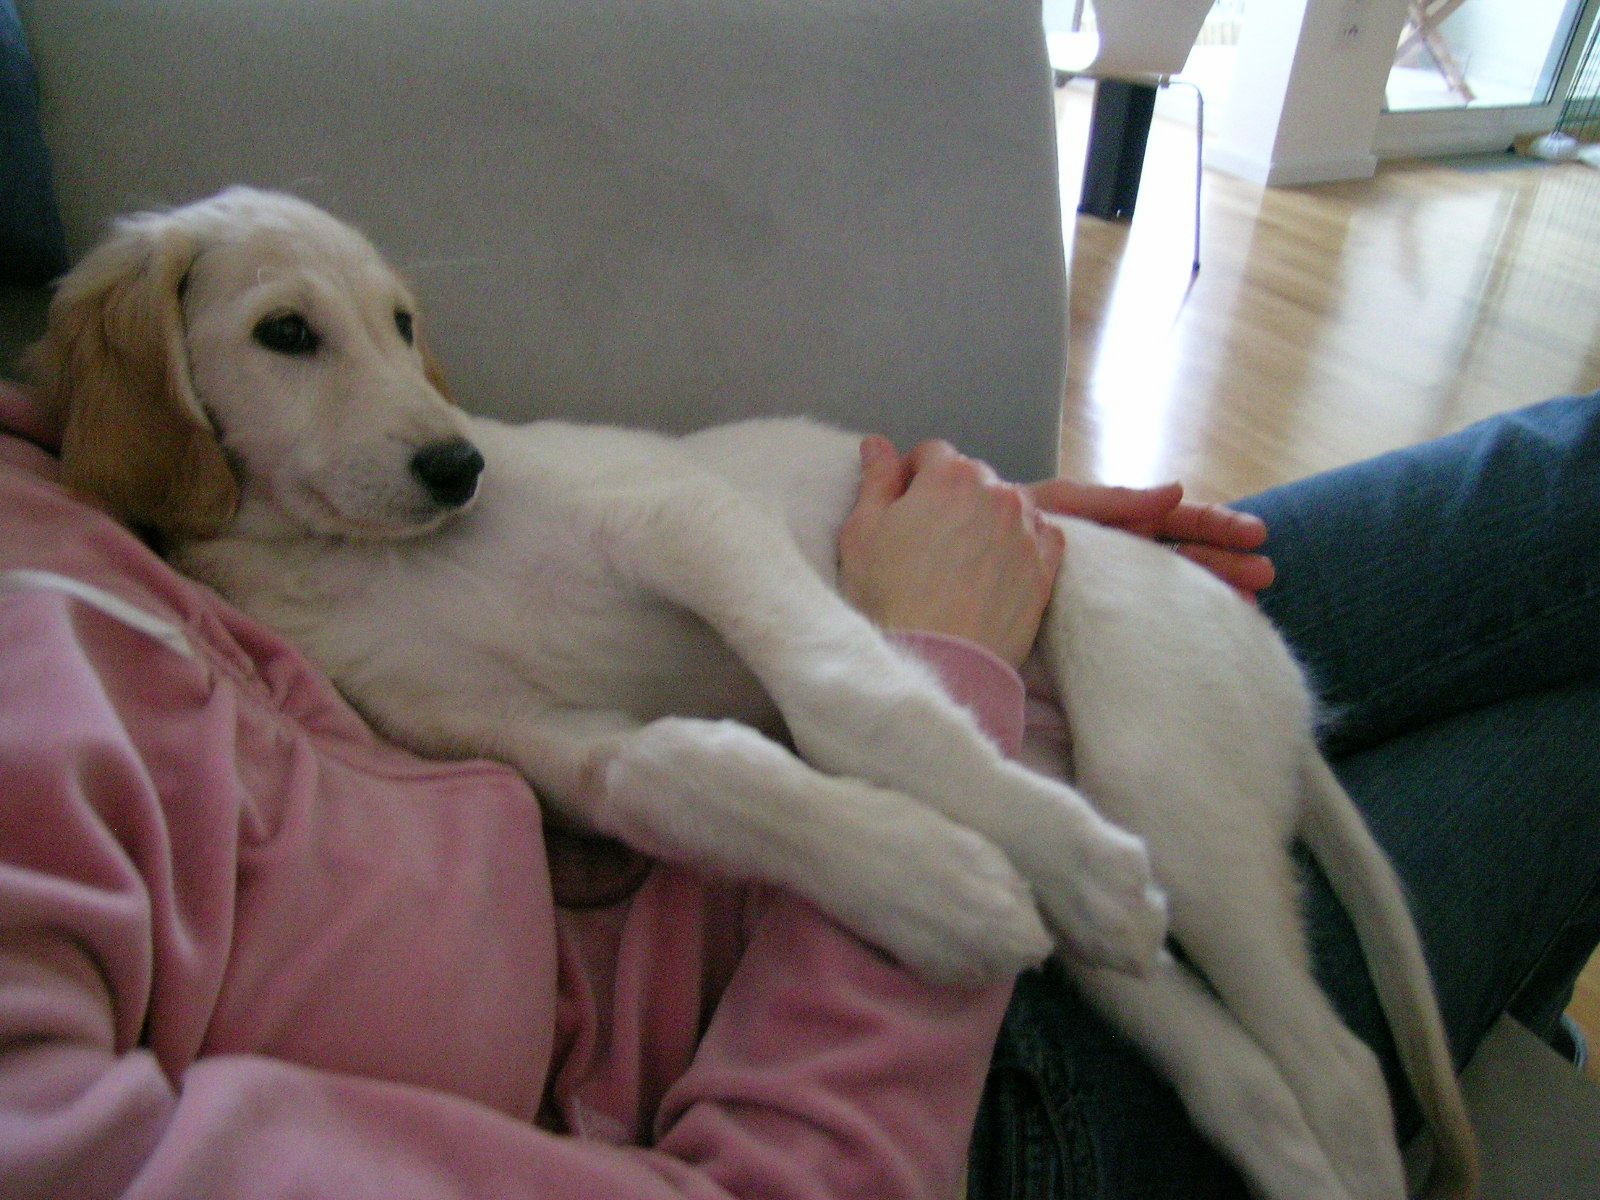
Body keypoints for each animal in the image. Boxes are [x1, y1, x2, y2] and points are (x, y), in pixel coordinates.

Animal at [28, 188, 1477, 1200]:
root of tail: (1274, 672)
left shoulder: (684, 521)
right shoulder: (534, 740)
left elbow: (846, 692)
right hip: (1124, 940)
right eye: (285, 333)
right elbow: (698, 770)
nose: (456, 466)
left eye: (400, 325)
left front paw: (1010, 856)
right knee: (1255, 1088)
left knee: (1345, 1072)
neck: (370, 562)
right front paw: (927, 887)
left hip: (1160, 774)